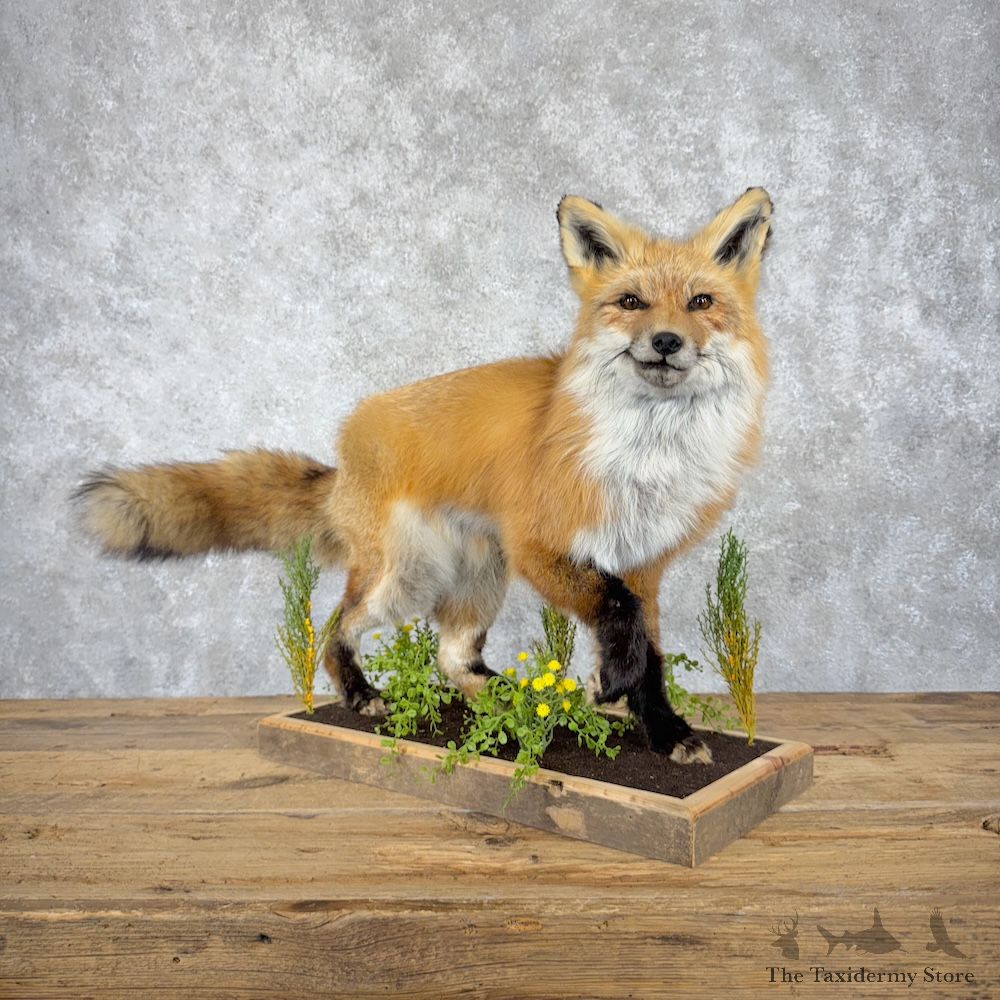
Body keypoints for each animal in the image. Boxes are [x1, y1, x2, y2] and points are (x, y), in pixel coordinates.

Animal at [78, 187, 772, 765]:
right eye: (631, 302)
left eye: (701, 303)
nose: (666, 341)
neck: (648, 458)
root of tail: (346, 450)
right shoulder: (540, 545)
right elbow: (618, 616)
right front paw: (611, 685)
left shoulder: (643, 564)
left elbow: (646, 651)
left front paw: (662, 728)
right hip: (409, 578)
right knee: (333, 627)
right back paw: (361, 695)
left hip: (479, 577)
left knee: (452, 659)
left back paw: (517, 700)